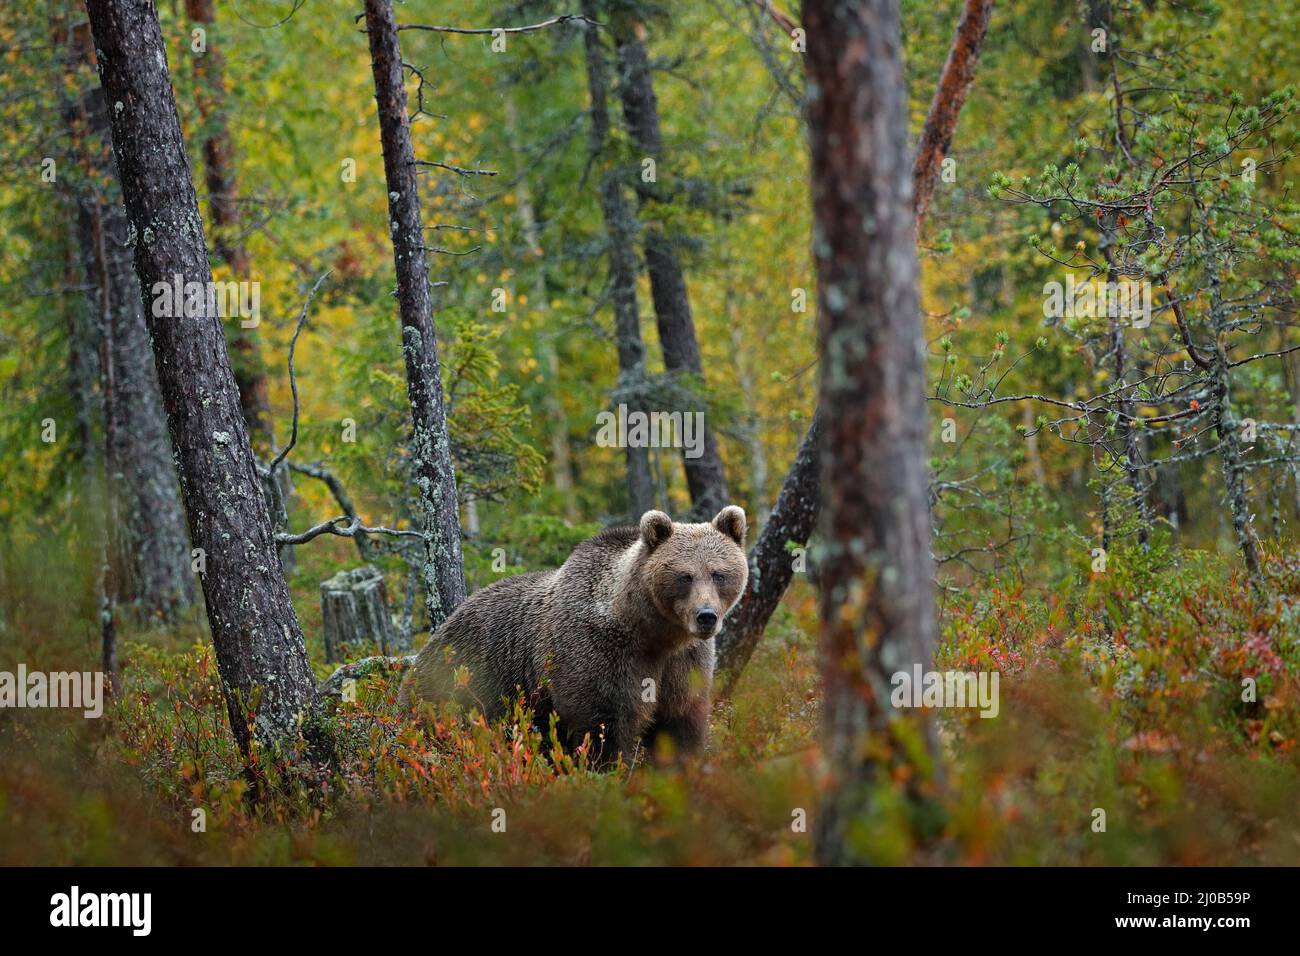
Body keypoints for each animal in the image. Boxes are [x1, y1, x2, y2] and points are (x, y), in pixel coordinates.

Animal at [395, 504, 748, 764]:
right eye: (684, 576)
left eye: (718, 574)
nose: (706, 616)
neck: (651, 633)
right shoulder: (597, 653)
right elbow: (602, 725)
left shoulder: (683, 662)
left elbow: (680, 721)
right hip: (457, 686)